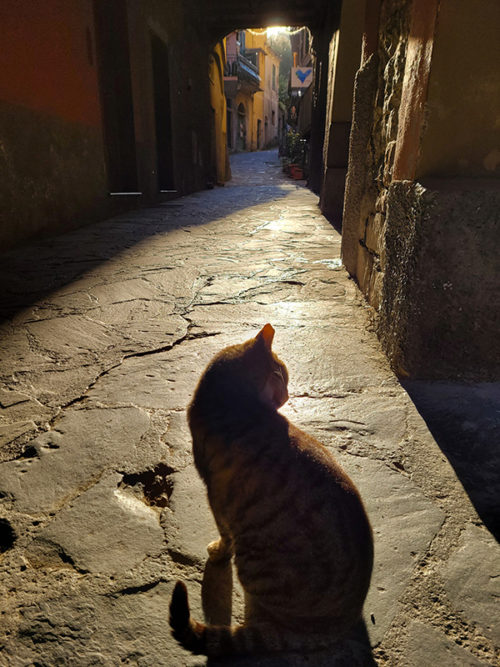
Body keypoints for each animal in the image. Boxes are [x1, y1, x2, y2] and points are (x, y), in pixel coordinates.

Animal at [170, 324, 374, 656]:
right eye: (285, 378)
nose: (289, 395)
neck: (232, 397)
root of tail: (338, 623)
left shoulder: (216, 492)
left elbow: (224, 534)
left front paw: (217, 551)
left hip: (255, 563)